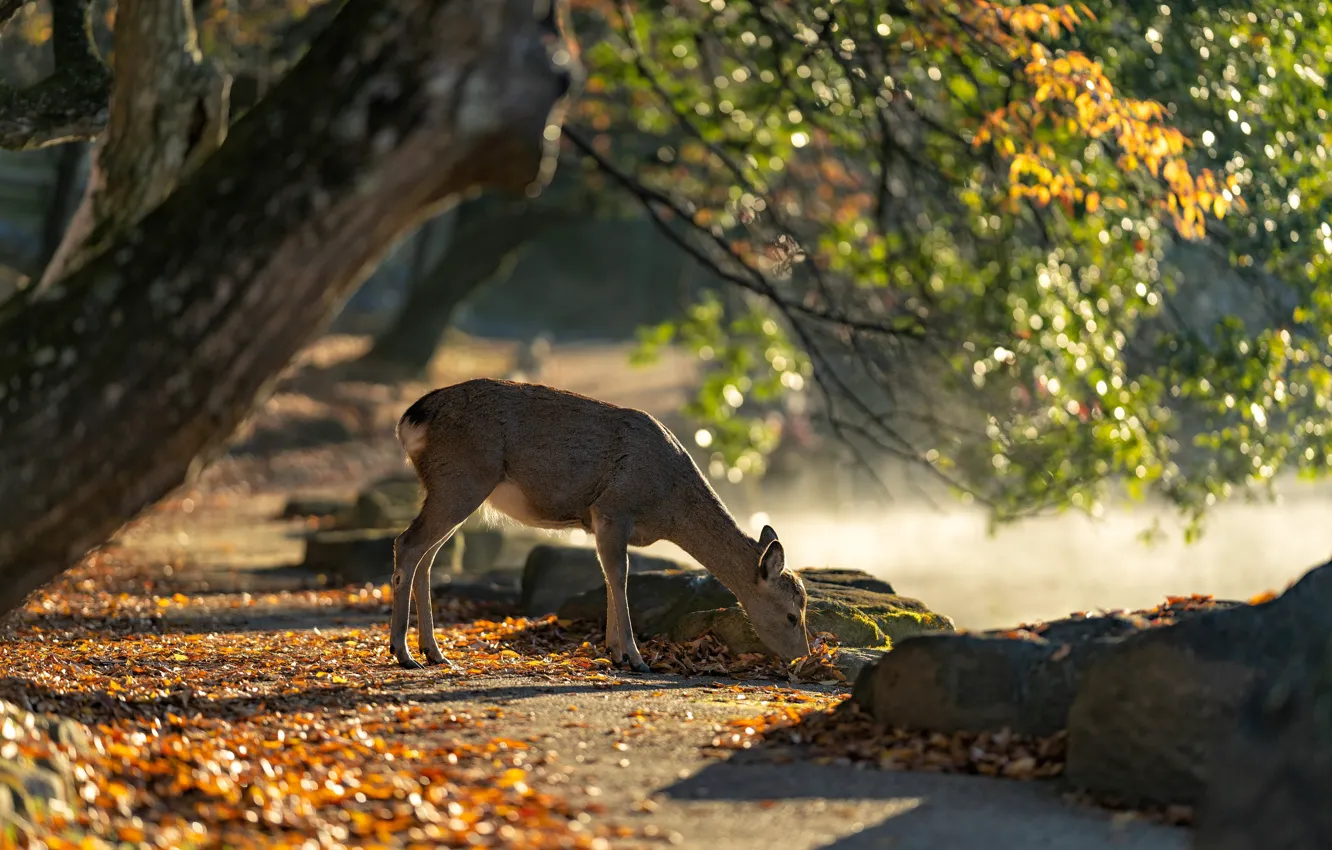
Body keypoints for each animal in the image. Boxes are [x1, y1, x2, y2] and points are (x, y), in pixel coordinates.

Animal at [380, 378, 804, 671]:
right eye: (791, 614)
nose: (802, 656)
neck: (667, 505)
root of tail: (410, 419)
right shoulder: (614, 508)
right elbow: (620, 576)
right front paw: (635, 658)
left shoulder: (604, 522)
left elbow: (608, 576)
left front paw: (615, 653)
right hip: (461, 480)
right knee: (407, 543)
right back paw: (403, 652)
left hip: (452, 488)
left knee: (427, 555)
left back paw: (434, 653)